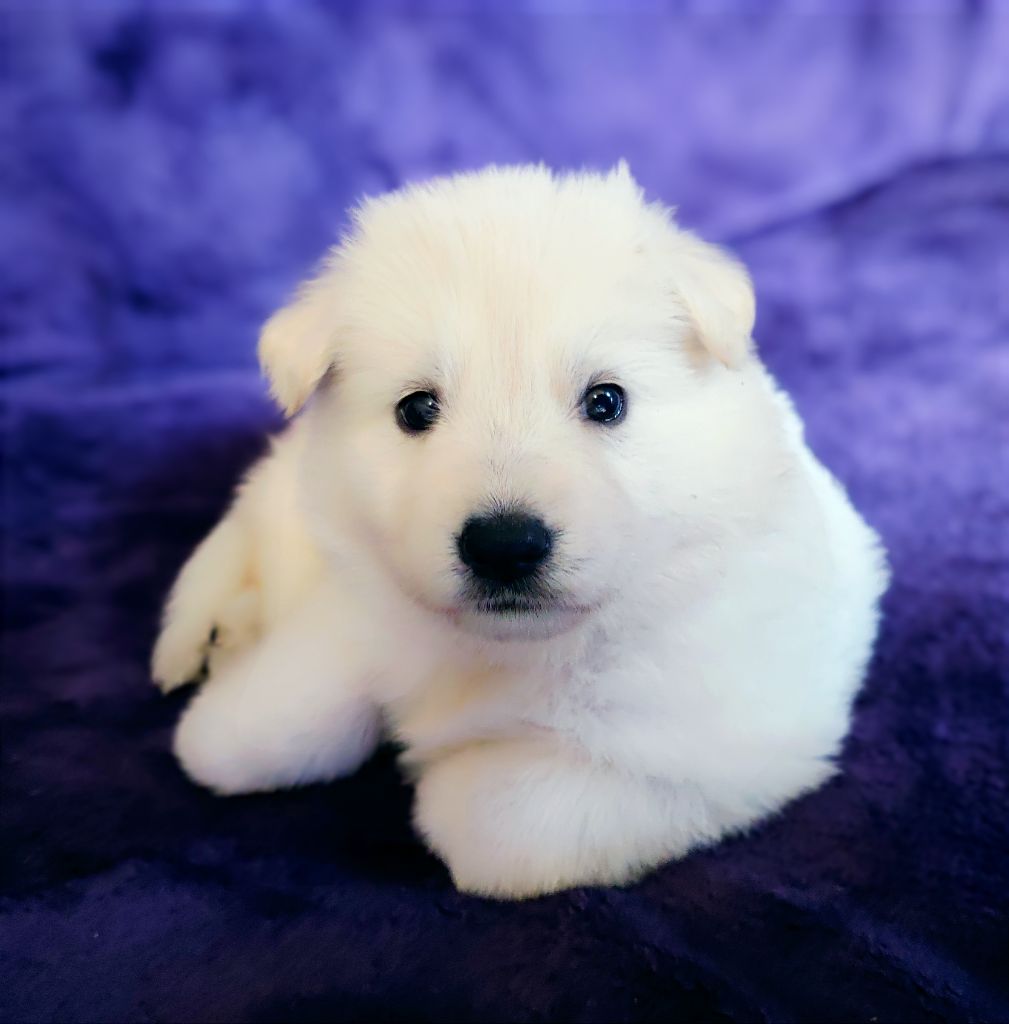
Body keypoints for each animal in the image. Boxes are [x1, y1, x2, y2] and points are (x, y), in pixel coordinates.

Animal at [152, 164, 888, 899]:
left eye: (606, 401)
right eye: (416, 409)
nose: (503, 547)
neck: (507, 651)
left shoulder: (715, 759)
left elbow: (497, 817)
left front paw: (434, 779)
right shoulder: (360, 601)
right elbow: (274, 718)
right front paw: (223, 716)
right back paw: (207, 631)